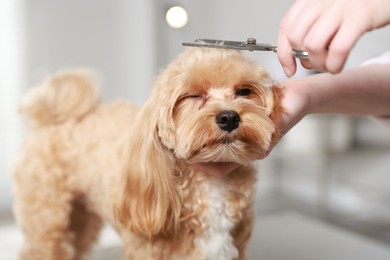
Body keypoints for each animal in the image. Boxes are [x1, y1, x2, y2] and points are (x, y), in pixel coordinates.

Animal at [12, 47, 280, 260]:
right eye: (193, 96)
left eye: (243, 92)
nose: (229, 117)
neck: (211, 183)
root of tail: (52, 119)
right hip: (47, 221)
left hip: (80, 218)